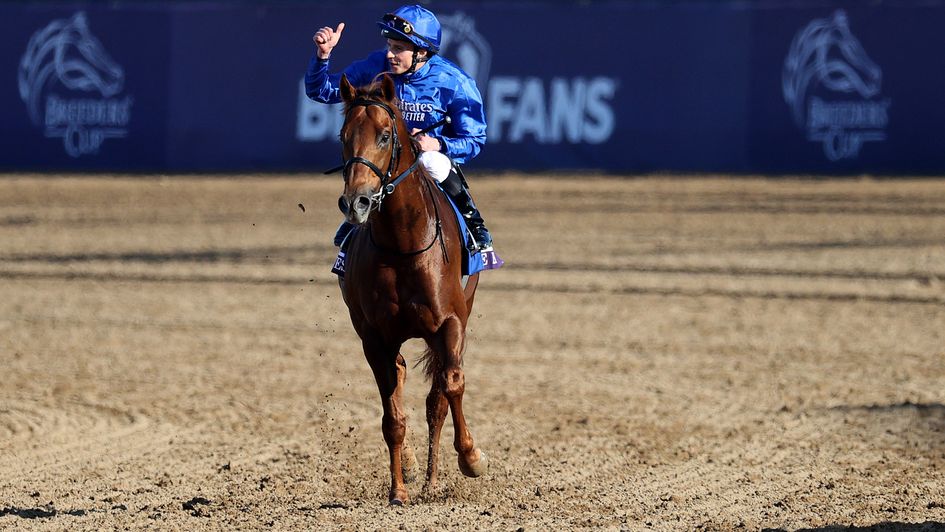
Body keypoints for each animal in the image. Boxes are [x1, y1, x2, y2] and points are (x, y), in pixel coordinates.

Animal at [334, 74, 486, 502]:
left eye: (385, 136)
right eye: (343, 136)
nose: (357, 202)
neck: (403, 245)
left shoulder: (450, 323)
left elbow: (449, 388)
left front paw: (471, 457)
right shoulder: (375, 338)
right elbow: (392, 417)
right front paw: (398, 489)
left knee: (438, 397)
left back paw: (435, 479)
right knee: (402, 379)